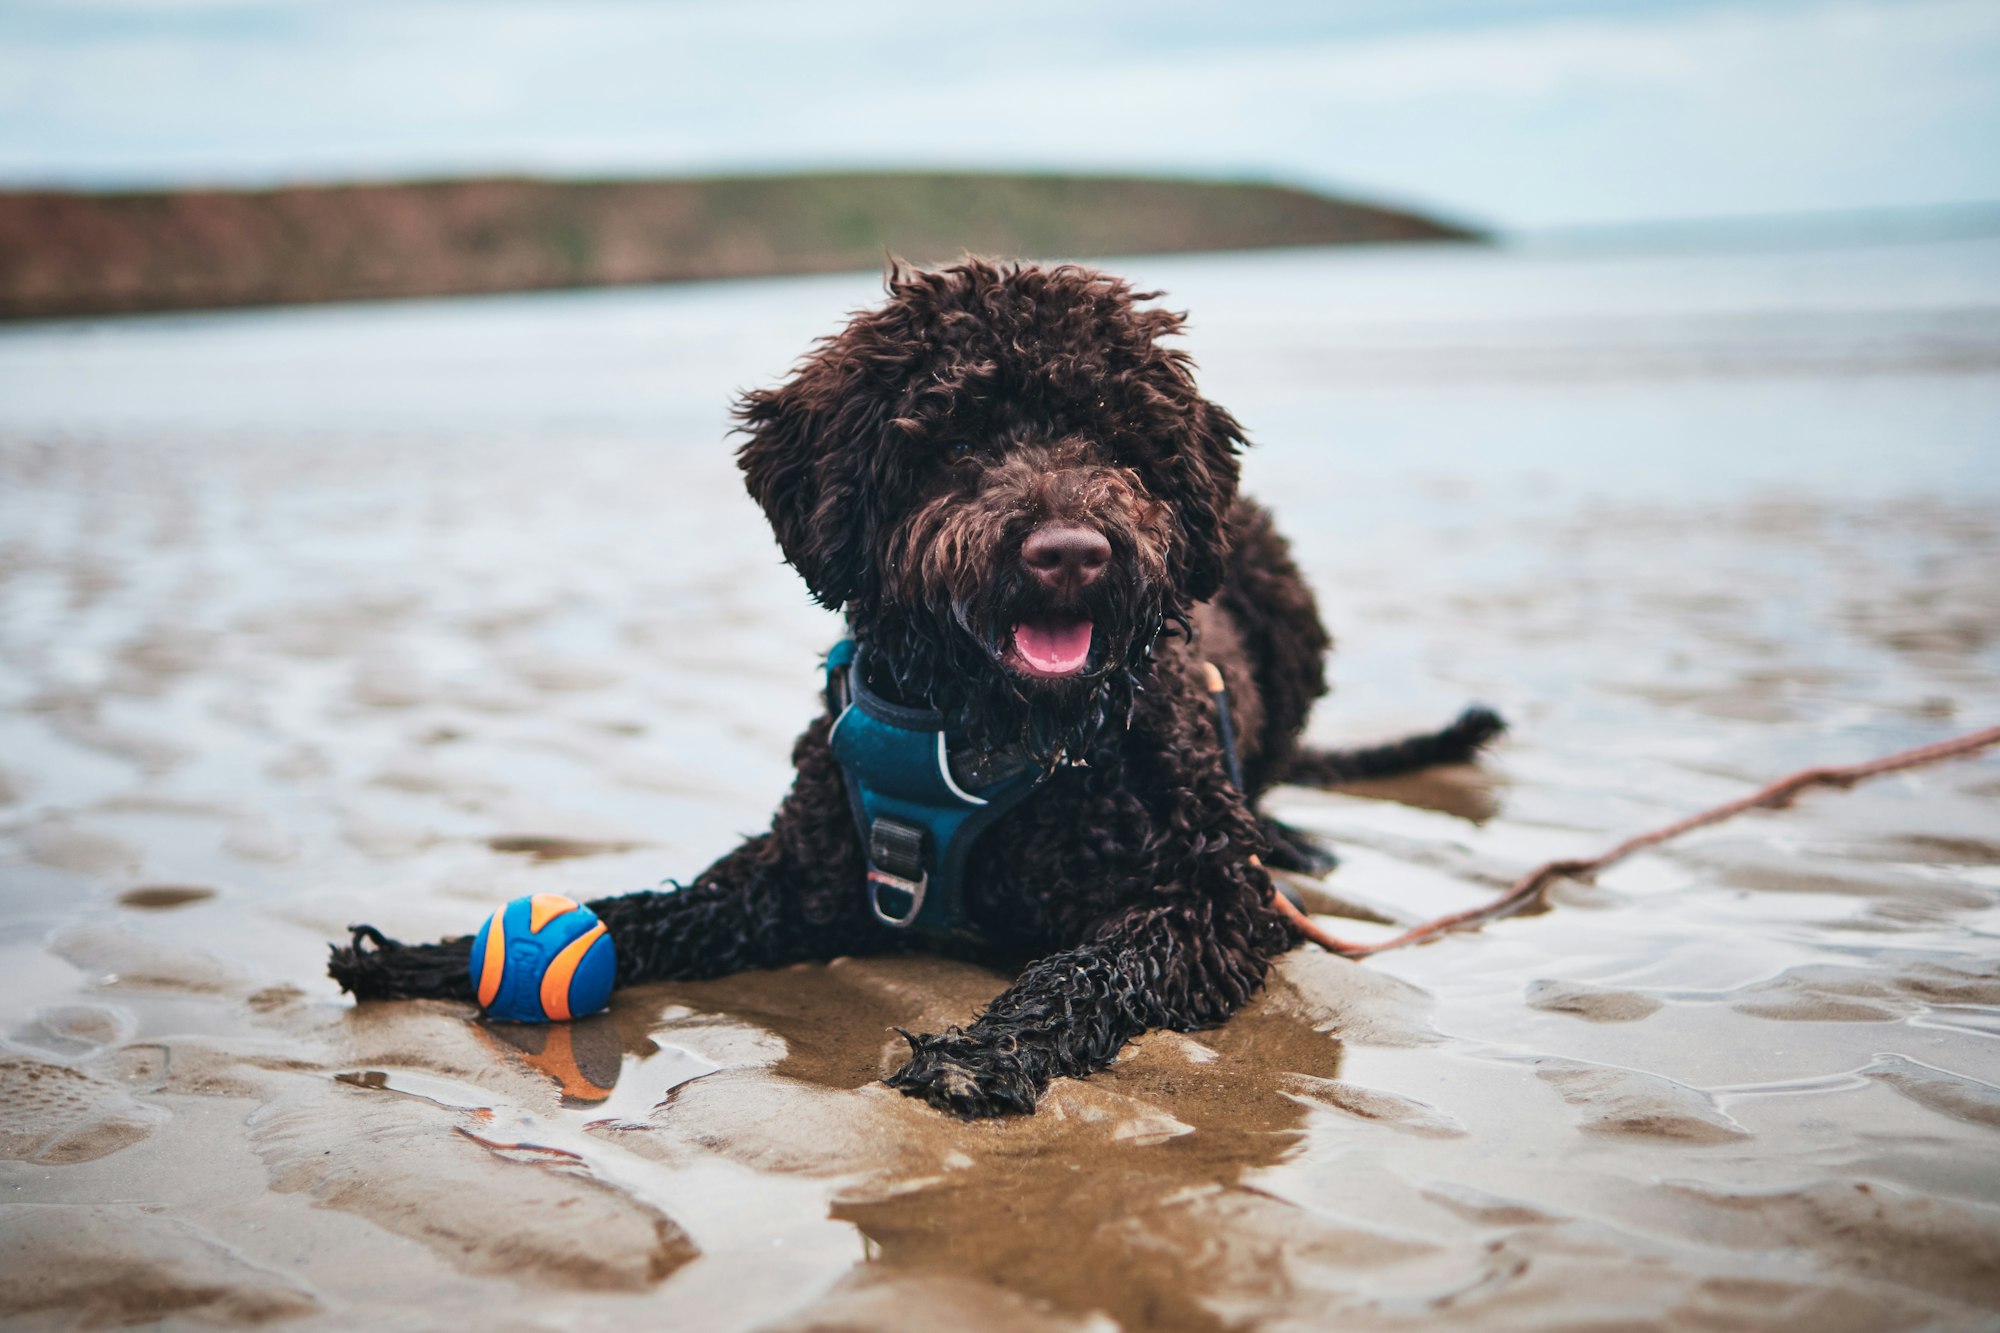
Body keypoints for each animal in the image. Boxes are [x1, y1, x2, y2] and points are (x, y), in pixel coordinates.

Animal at [328, 256, 1504, 1112]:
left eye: (1117, 435)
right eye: (958, 433)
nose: (1071, 553)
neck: (983, 732)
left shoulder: (1206, 896)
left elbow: (1091, 964)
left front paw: (989, 1050)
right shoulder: (793, 879)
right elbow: (641, 913)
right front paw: (437, 959)